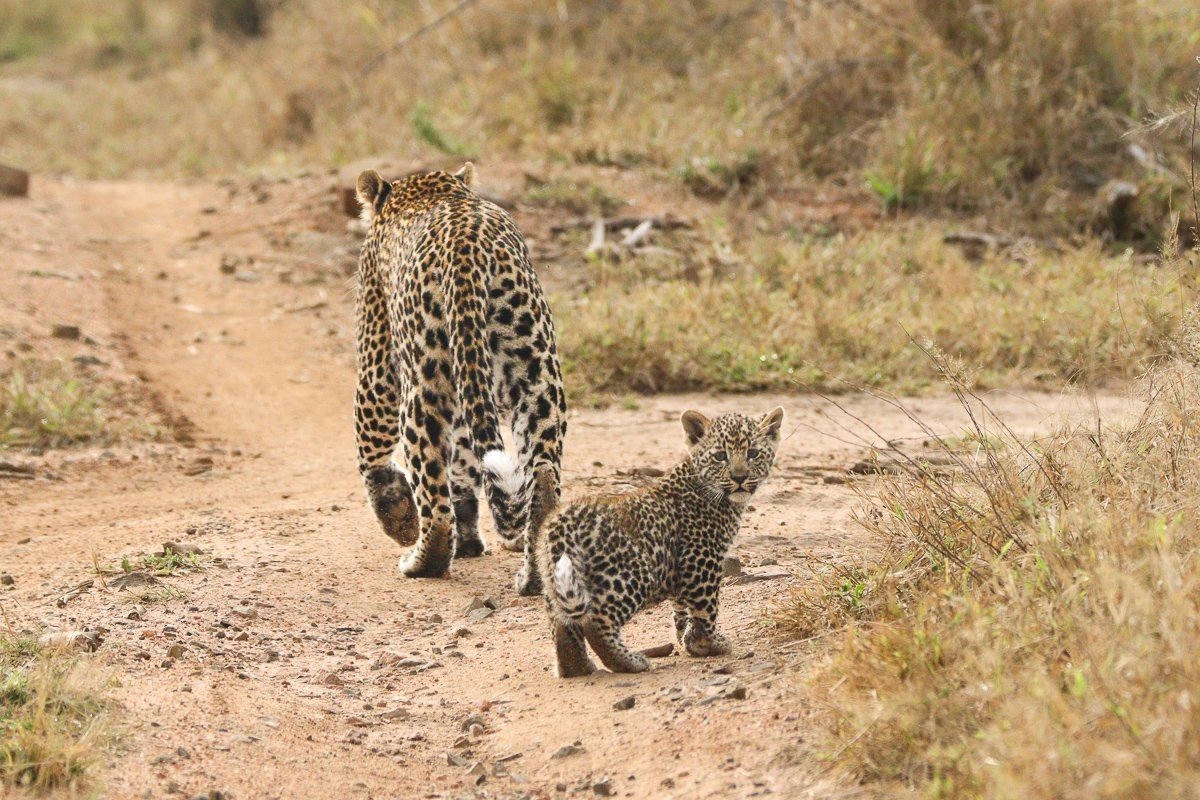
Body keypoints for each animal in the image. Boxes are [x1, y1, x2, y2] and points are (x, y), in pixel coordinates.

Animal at [354, 162, 566, 592]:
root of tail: (465, 245)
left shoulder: (376, 356)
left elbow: (371, 452)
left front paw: (396, 514)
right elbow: (466, 469)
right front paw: (468, 540)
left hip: (424, 381)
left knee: (433, 496)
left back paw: (421, 559)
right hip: (534, 371)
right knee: (539, 474)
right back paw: (533, 574)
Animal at [536, 406, 784, 677]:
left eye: (753, 453)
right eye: (720, 456)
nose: (740, 477)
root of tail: (561, 523)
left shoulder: (682, 566)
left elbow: (682, 607)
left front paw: (688, 639)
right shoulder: (703, 558)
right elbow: (706, 607)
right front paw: (708, 644)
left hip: (554, 583)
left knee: (564, 627)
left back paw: (578, 667)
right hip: (630, 574)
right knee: (596, 622)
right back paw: (630, 662)